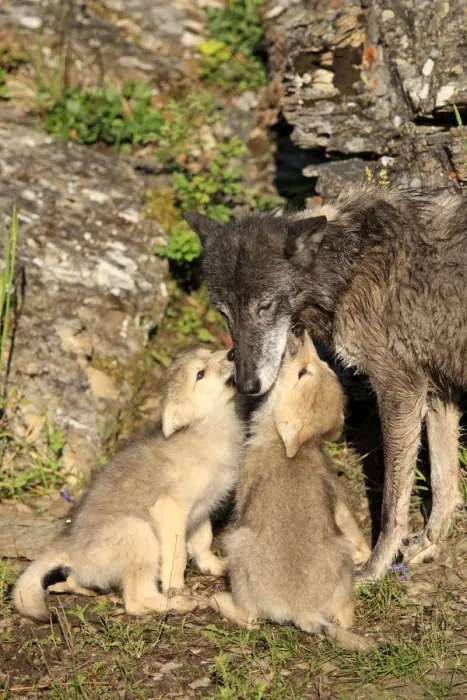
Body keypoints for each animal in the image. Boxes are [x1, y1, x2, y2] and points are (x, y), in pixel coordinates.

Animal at [14, 347, 243, 620]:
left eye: (210, 352)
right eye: (200, 373)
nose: (232, 352)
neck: (206, 432)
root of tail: (70, 548)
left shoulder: (200, 511)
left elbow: (203, 542)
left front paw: (216, 566)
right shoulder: (171, 508)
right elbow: (176, 557)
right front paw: (177, 588)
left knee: (75, 580)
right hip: (137, 531)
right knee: (135, 601)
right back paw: (179, 604)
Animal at [184, 183, 467, 582]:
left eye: (264, 307)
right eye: (225, 314)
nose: (247, 385)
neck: (348, 267)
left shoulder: (401, 389)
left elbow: (391, 504)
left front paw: (375, 568)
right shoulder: (438, 389)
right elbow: (445, 482)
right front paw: (430, 543)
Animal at [210, 330, 374, 650]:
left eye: (302, 373)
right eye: (324, 365)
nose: (301, 334)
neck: (290, 445)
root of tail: (305, 610)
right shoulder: (335, 497)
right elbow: (348, 519)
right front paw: (366, 551)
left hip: (238, 550)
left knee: (250, 620)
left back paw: (218, 600)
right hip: (341, 563)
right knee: (345, 617)